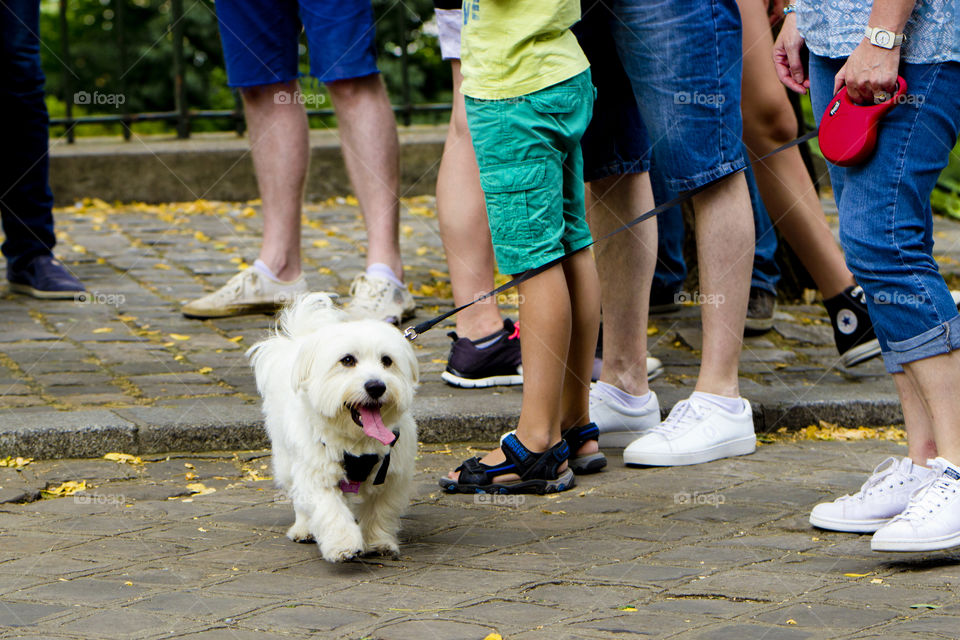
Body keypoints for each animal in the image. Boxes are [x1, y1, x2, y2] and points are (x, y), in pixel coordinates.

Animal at [246, 292, 418, 564]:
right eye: (347, 360)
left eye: (387, 361)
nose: (376, 386)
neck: (357, 440)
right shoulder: (316, 472)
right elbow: (330, 510)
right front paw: (343, 544)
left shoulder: (391, 476)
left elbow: (380, 511)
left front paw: (378, 541)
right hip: (286, 459)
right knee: (299, 498)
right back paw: (304, 528)